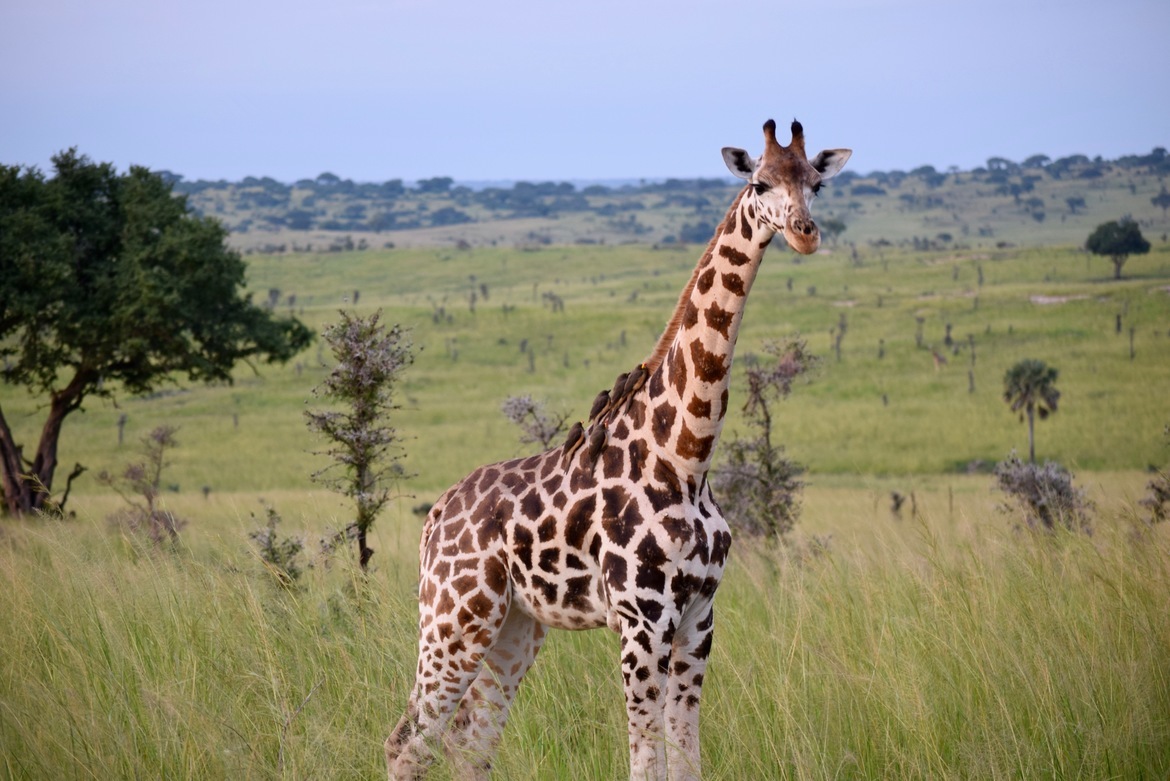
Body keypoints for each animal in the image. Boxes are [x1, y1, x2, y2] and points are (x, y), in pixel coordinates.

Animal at [386, 119, 851, 780]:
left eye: (816, 183)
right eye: (760, 182)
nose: (805, 234)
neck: (686, 457)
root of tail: (435, 516)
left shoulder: (698, 618)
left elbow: (685, 759)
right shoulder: (640, 619)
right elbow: (645, 761)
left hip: (516, 626)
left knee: (468, 742)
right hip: (455, 615)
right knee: (408, 741)